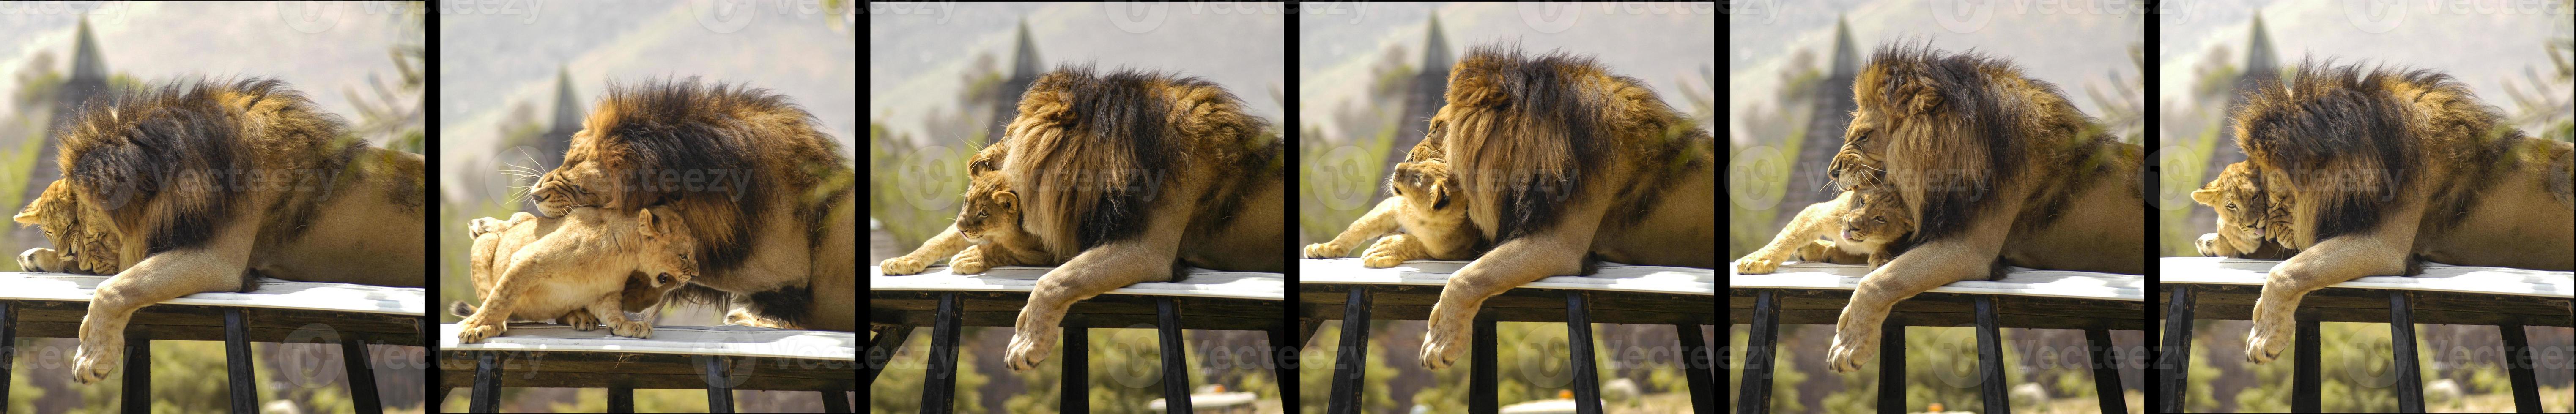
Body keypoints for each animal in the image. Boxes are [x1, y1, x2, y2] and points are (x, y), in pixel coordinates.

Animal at [11, 78, 422, 380]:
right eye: (61, 232)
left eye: (81, 226)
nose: (72, 255)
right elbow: (112, 276)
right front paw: (39, 257)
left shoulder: (217, 260)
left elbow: (116, 287)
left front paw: (92, 354)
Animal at [1803, 45, 2143, 373]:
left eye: (1864, 136)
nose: (1832, 172)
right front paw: (1823, 251)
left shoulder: (1968, 248)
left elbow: (1880, 281)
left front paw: (1850, 343)